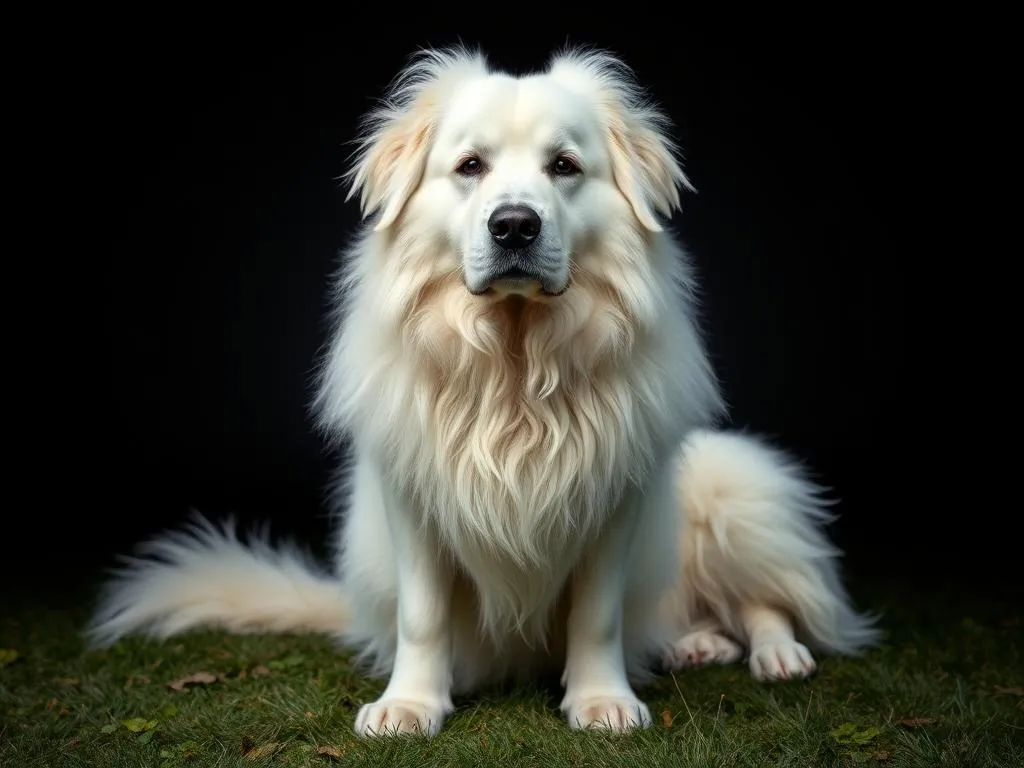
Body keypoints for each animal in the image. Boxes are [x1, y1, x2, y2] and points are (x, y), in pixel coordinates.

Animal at [90, 46, 880, 741]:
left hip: (730, 489)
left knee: (766, 598)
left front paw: (602, 701)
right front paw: (410, 706)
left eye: (564, 166)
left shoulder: (613, 501)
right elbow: (423, 616)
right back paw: (697, 644)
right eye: (471, 167)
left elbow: (598, 614)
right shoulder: (413, 500)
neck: (515, 362)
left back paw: (776, 654)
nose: (515, 225)